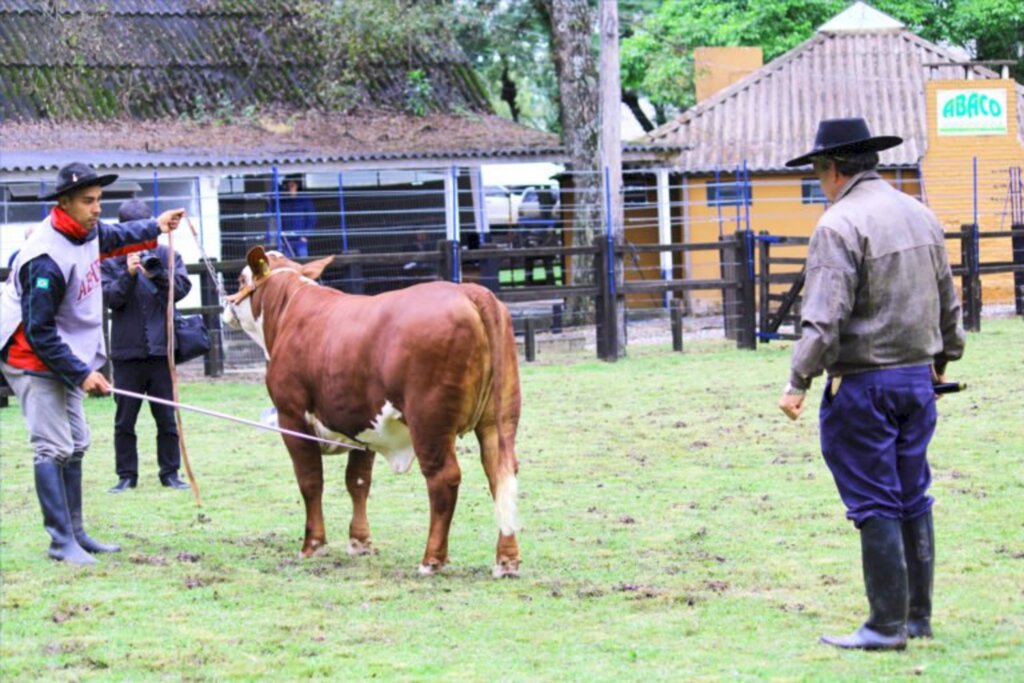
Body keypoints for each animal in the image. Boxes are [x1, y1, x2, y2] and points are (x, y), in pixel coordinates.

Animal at [227, 245, 524, 577]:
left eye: (241, 279)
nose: (226, 302)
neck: (290, 310)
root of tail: (469, 290)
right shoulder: (360, 423)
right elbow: (358, 482)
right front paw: (360, 542)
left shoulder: (292, 418)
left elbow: (310, 481)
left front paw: (313, 545)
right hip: (498, 419)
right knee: (501, 472)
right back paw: (506, 561)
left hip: (429, 423)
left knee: (444, 478)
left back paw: (431, 560)